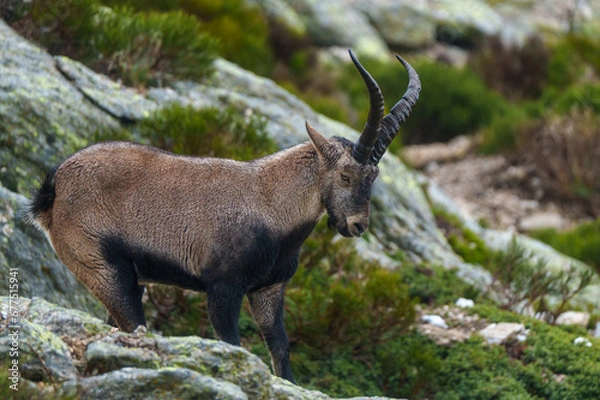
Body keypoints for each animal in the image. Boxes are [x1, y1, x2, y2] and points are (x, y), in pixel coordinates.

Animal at [29, 49, 422, 382]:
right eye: (345, 175)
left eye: (374, 177)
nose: (357, 225)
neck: (270, 204)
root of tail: (55, 185)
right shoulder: (223, 287)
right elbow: (231, 344)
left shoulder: (268, 288)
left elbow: (280, 347)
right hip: (101, 265)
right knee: (131, 321)